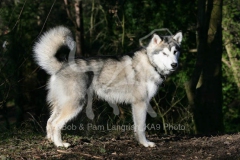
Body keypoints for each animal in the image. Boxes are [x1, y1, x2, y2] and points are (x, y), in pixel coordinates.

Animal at [33, 26, 182, 148]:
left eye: (175, 52)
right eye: (164, 53)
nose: (174, 65)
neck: (150, 63)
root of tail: (62, 65)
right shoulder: (140, 103)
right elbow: (141, 127)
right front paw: (145, 143)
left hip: (61, 104)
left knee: (49, 122)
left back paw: (51, 141)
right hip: (75, 104)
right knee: (56, 124)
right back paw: (60, 144)